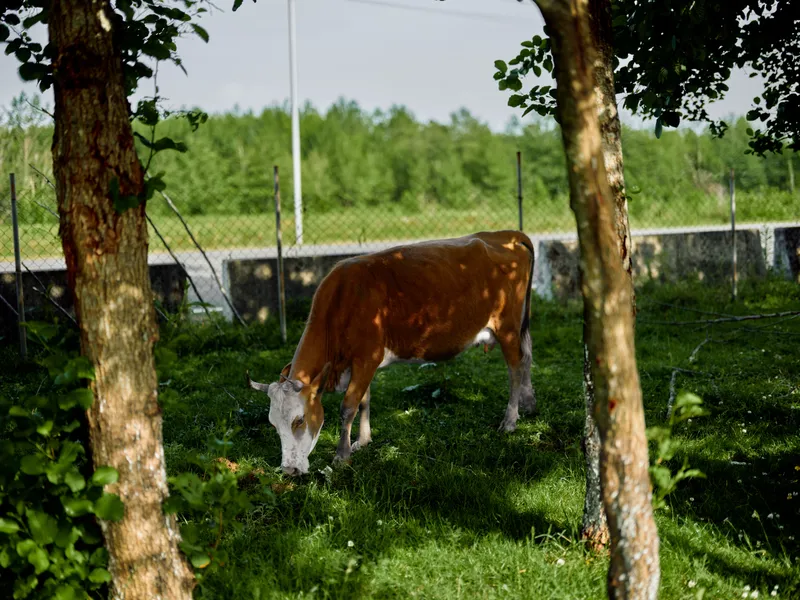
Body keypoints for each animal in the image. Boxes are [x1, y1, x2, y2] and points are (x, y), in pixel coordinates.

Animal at [246, 230, 537, 476]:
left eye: (299, 420)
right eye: (273, 424)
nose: (288, 470)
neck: (344, 300)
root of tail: (505, 235)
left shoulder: (367, 357)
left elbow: (348, 406)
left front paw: (342, 455)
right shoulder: (361, 363)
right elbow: (364, 401)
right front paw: (362, 441)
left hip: (507, 326)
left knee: (515, 367)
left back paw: (510, 420)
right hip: (516, 327)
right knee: (527, 356)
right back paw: (529, 403)